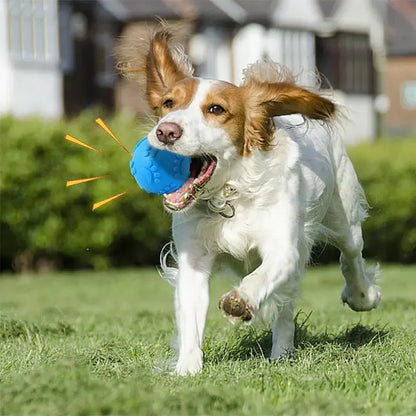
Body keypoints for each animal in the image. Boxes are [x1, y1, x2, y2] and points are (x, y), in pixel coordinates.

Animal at [116, 29, 380, 374]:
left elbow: (261, 277)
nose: (166, 131)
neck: (231, 195)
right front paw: (187, 369)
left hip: (343, 218)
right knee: (286, 306)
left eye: (216, 109)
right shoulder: (194, 260)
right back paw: (282, 352)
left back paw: (362, 296)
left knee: (351, 257)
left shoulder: (284, 249)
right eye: (168, 103)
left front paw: (239, 302)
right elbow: (191, 319)